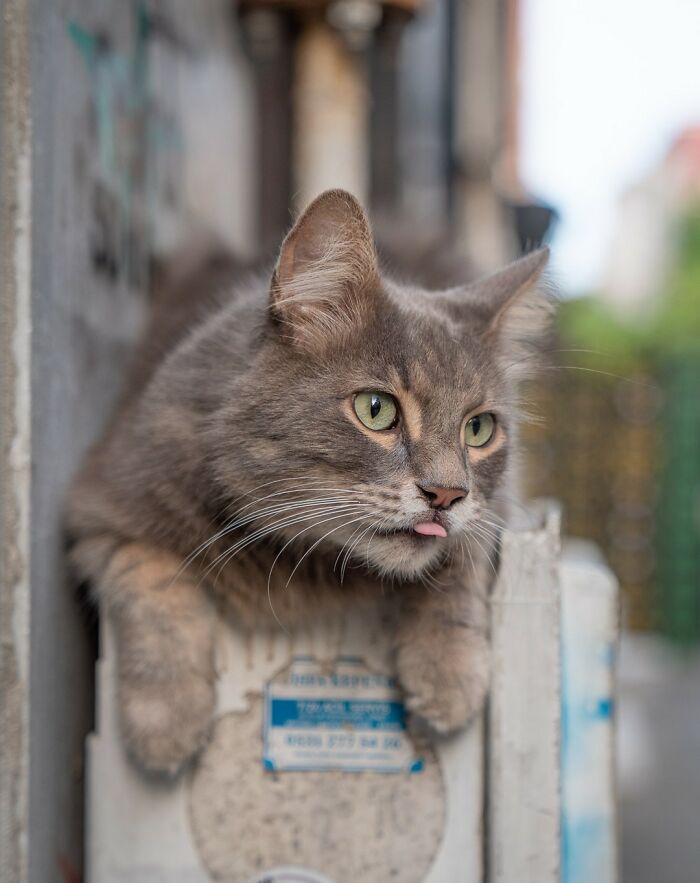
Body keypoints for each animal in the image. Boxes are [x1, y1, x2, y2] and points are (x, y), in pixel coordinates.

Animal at [65, 190, 552, 776]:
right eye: (376, 410)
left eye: (478, 429)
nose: (447, 494)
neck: (307, 559)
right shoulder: (102, 507)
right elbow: (150, 581)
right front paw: (167, 719)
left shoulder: (496, 511)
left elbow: (459, 560)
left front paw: (448, 672)